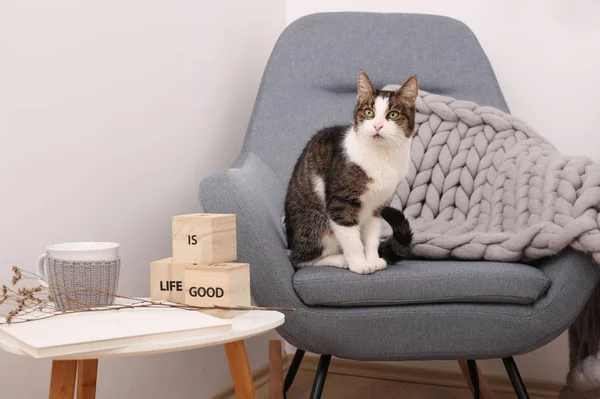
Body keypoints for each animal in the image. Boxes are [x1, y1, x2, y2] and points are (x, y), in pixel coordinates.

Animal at [286, 70, 418, 276]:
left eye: (393, 114)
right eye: (369, 112)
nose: (377, 126)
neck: (382, 156)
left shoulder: (378, 206)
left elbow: (371, 238)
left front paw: (372, 260)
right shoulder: (341, 202)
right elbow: (352, 240)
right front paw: (360, 264)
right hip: (315, 224)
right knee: (300, 259)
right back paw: (340, 259)